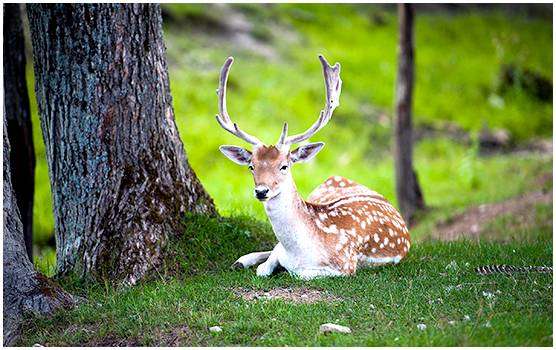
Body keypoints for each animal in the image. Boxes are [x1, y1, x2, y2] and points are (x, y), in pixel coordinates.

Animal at [215, 54, 410, 278]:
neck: (299, 252)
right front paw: (252, 262)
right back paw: (241, 260)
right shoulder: (280, 252)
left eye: (284, 166)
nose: (261, 191)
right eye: (251, 166)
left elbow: (298, 273)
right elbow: (264, 267)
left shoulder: (345, 265)